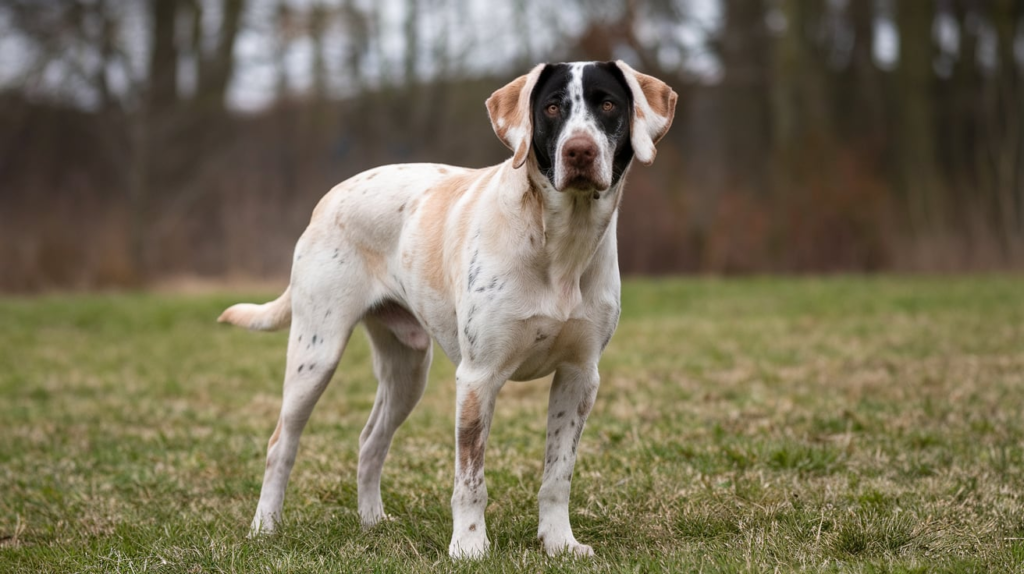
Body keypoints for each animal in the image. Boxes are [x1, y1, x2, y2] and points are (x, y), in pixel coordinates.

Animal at [220, 60, 675, 556]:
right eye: (552, 107)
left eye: (608, 104)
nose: (579, 151)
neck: (560, 244)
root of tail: (327, 199)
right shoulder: (478, 378)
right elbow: (470, 480)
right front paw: (470, 547)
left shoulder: (579, 376)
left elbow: (558, 475)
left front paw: (559, 542)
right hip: (315, 355)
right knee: (280, 445)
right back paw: (265, 527)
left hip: (408, 370)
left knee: (370, 441)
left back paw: (373, 522)